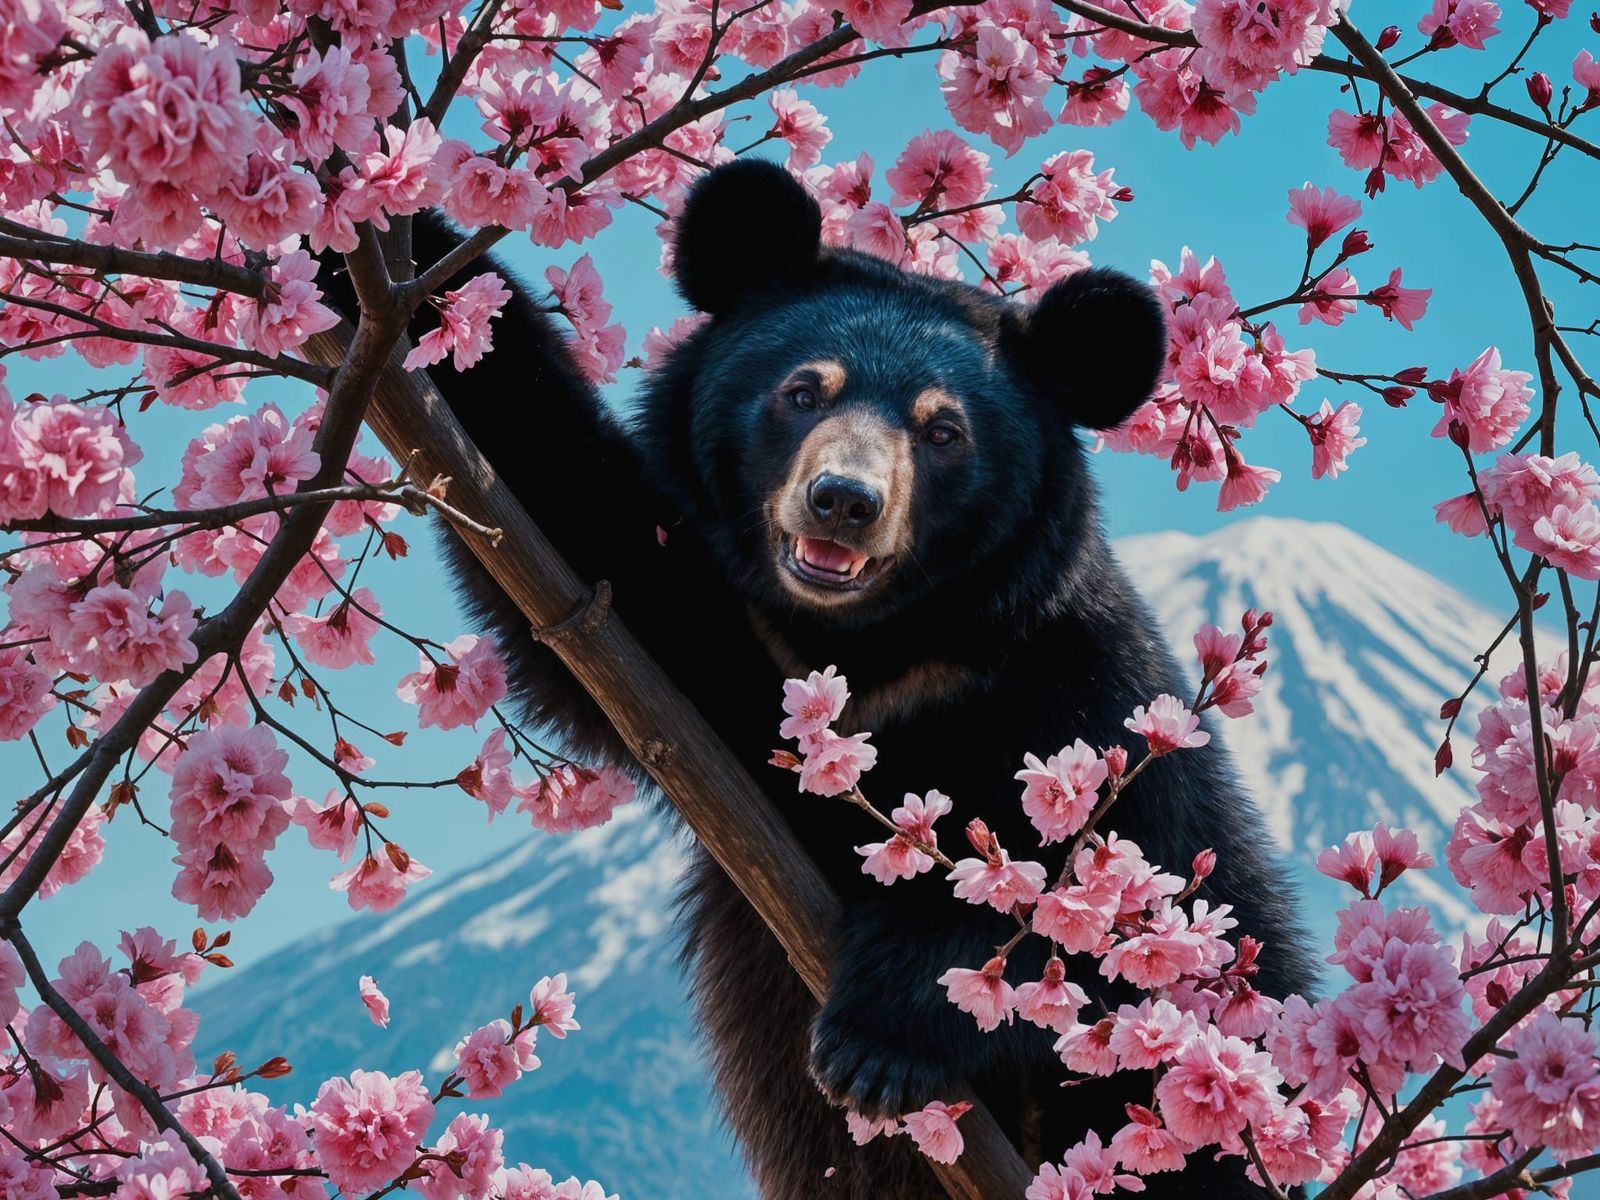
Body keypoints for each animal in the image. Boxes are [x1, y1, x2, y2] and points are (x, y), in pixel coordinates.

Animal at [342, 159, 1315, 1198]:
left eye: (944, 433)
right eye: (803, 392)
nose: (843, 502)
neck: (869, 646)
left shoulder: (1078, 691)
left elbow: (1055, 878)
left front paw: (877, 1046)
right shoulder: (717, 631)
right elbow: (563, 507)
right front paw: (373, 242)